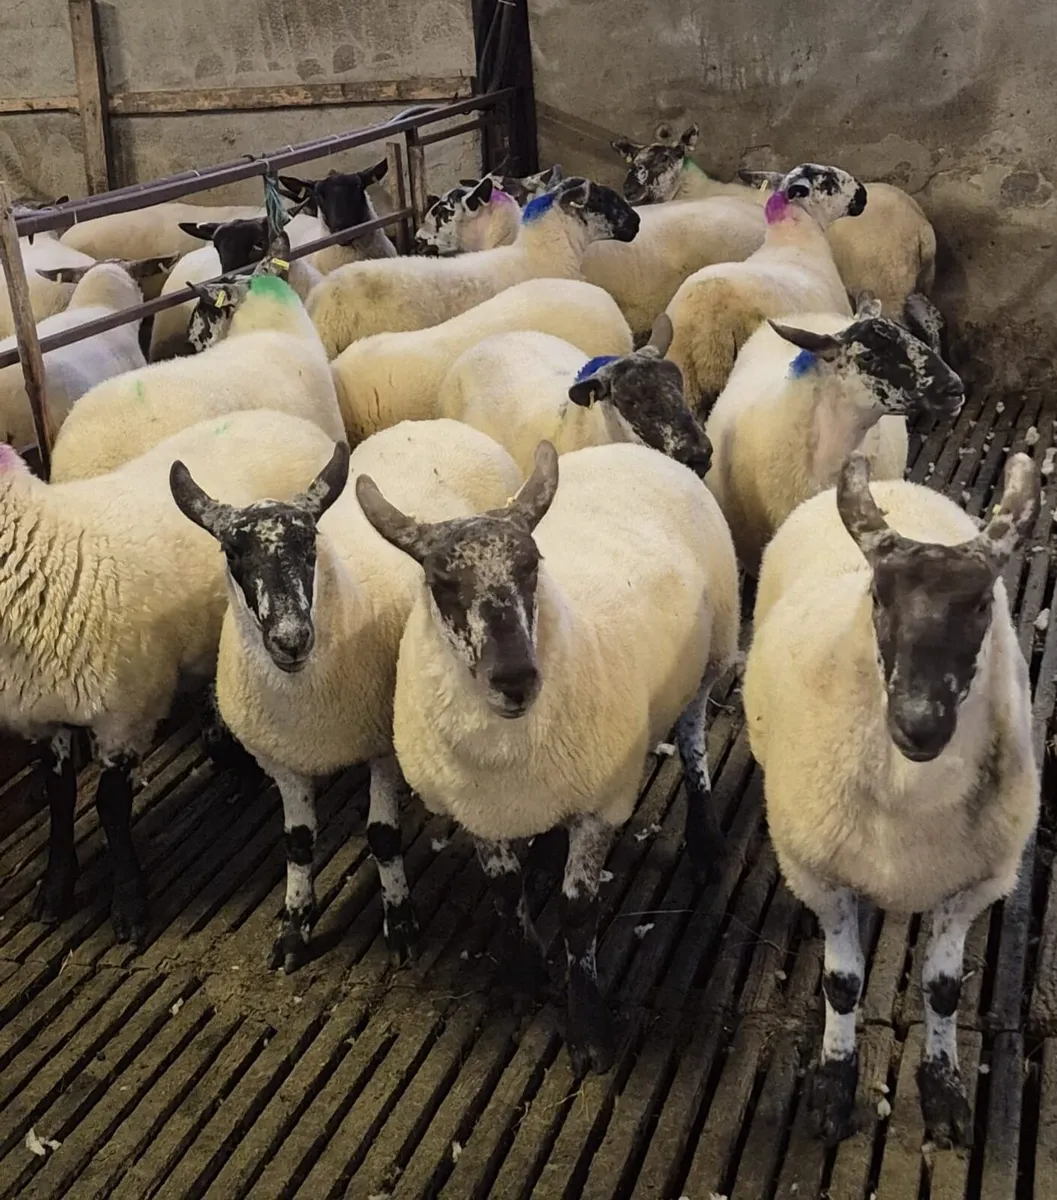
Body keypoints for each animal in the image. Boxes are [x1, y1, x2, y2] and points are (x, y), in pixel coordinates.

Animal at [0, 408, 340, 946]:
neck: (47, 553)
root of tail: (281, 418)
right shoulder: (48, 713)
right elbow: (59, 795)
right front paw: (54, 890)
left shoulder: (124, 711)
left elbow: (110, 805)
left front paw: (129, 906)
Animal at [169, 418, 524, 971]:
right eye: (232, 552)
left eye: (311, 545)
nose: (291, 639)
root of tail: (430, 423)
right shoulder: (283, 760)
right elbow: (296, 843)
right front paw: (294, 928)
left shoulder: (381, 745)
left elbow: (383, 837)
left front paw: (400, 923)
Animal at [355, 439, 740, 1073]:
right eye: (442, 583)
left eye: (532, 565)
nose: (515, 679)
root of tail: (630, 448)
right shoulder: (479, 807)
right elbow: (504, 891)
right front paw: (524, 975)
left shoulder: (601, 801)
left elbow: (578, 912)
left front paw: (588, 1028)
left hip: (711, 654)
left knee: (692, 741)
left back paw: (707, 843)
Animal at [612, 124, 937, 313]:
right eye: (633, 160)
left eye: (673, 154)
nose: (629, 188)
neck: (695, 189)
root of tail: (923, 226)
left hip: (885, 285)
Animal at [743, 451, 1040, 1148]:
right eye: (878, 596)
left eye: (982, 603)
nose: (919, 724)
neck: (912, 804)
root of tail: (891, 482)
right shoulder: (818, 872)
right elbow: (843, 984)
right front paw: (833, 1082)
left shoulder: (977, 883)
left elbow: (942, 990)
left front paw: (944, 1089)